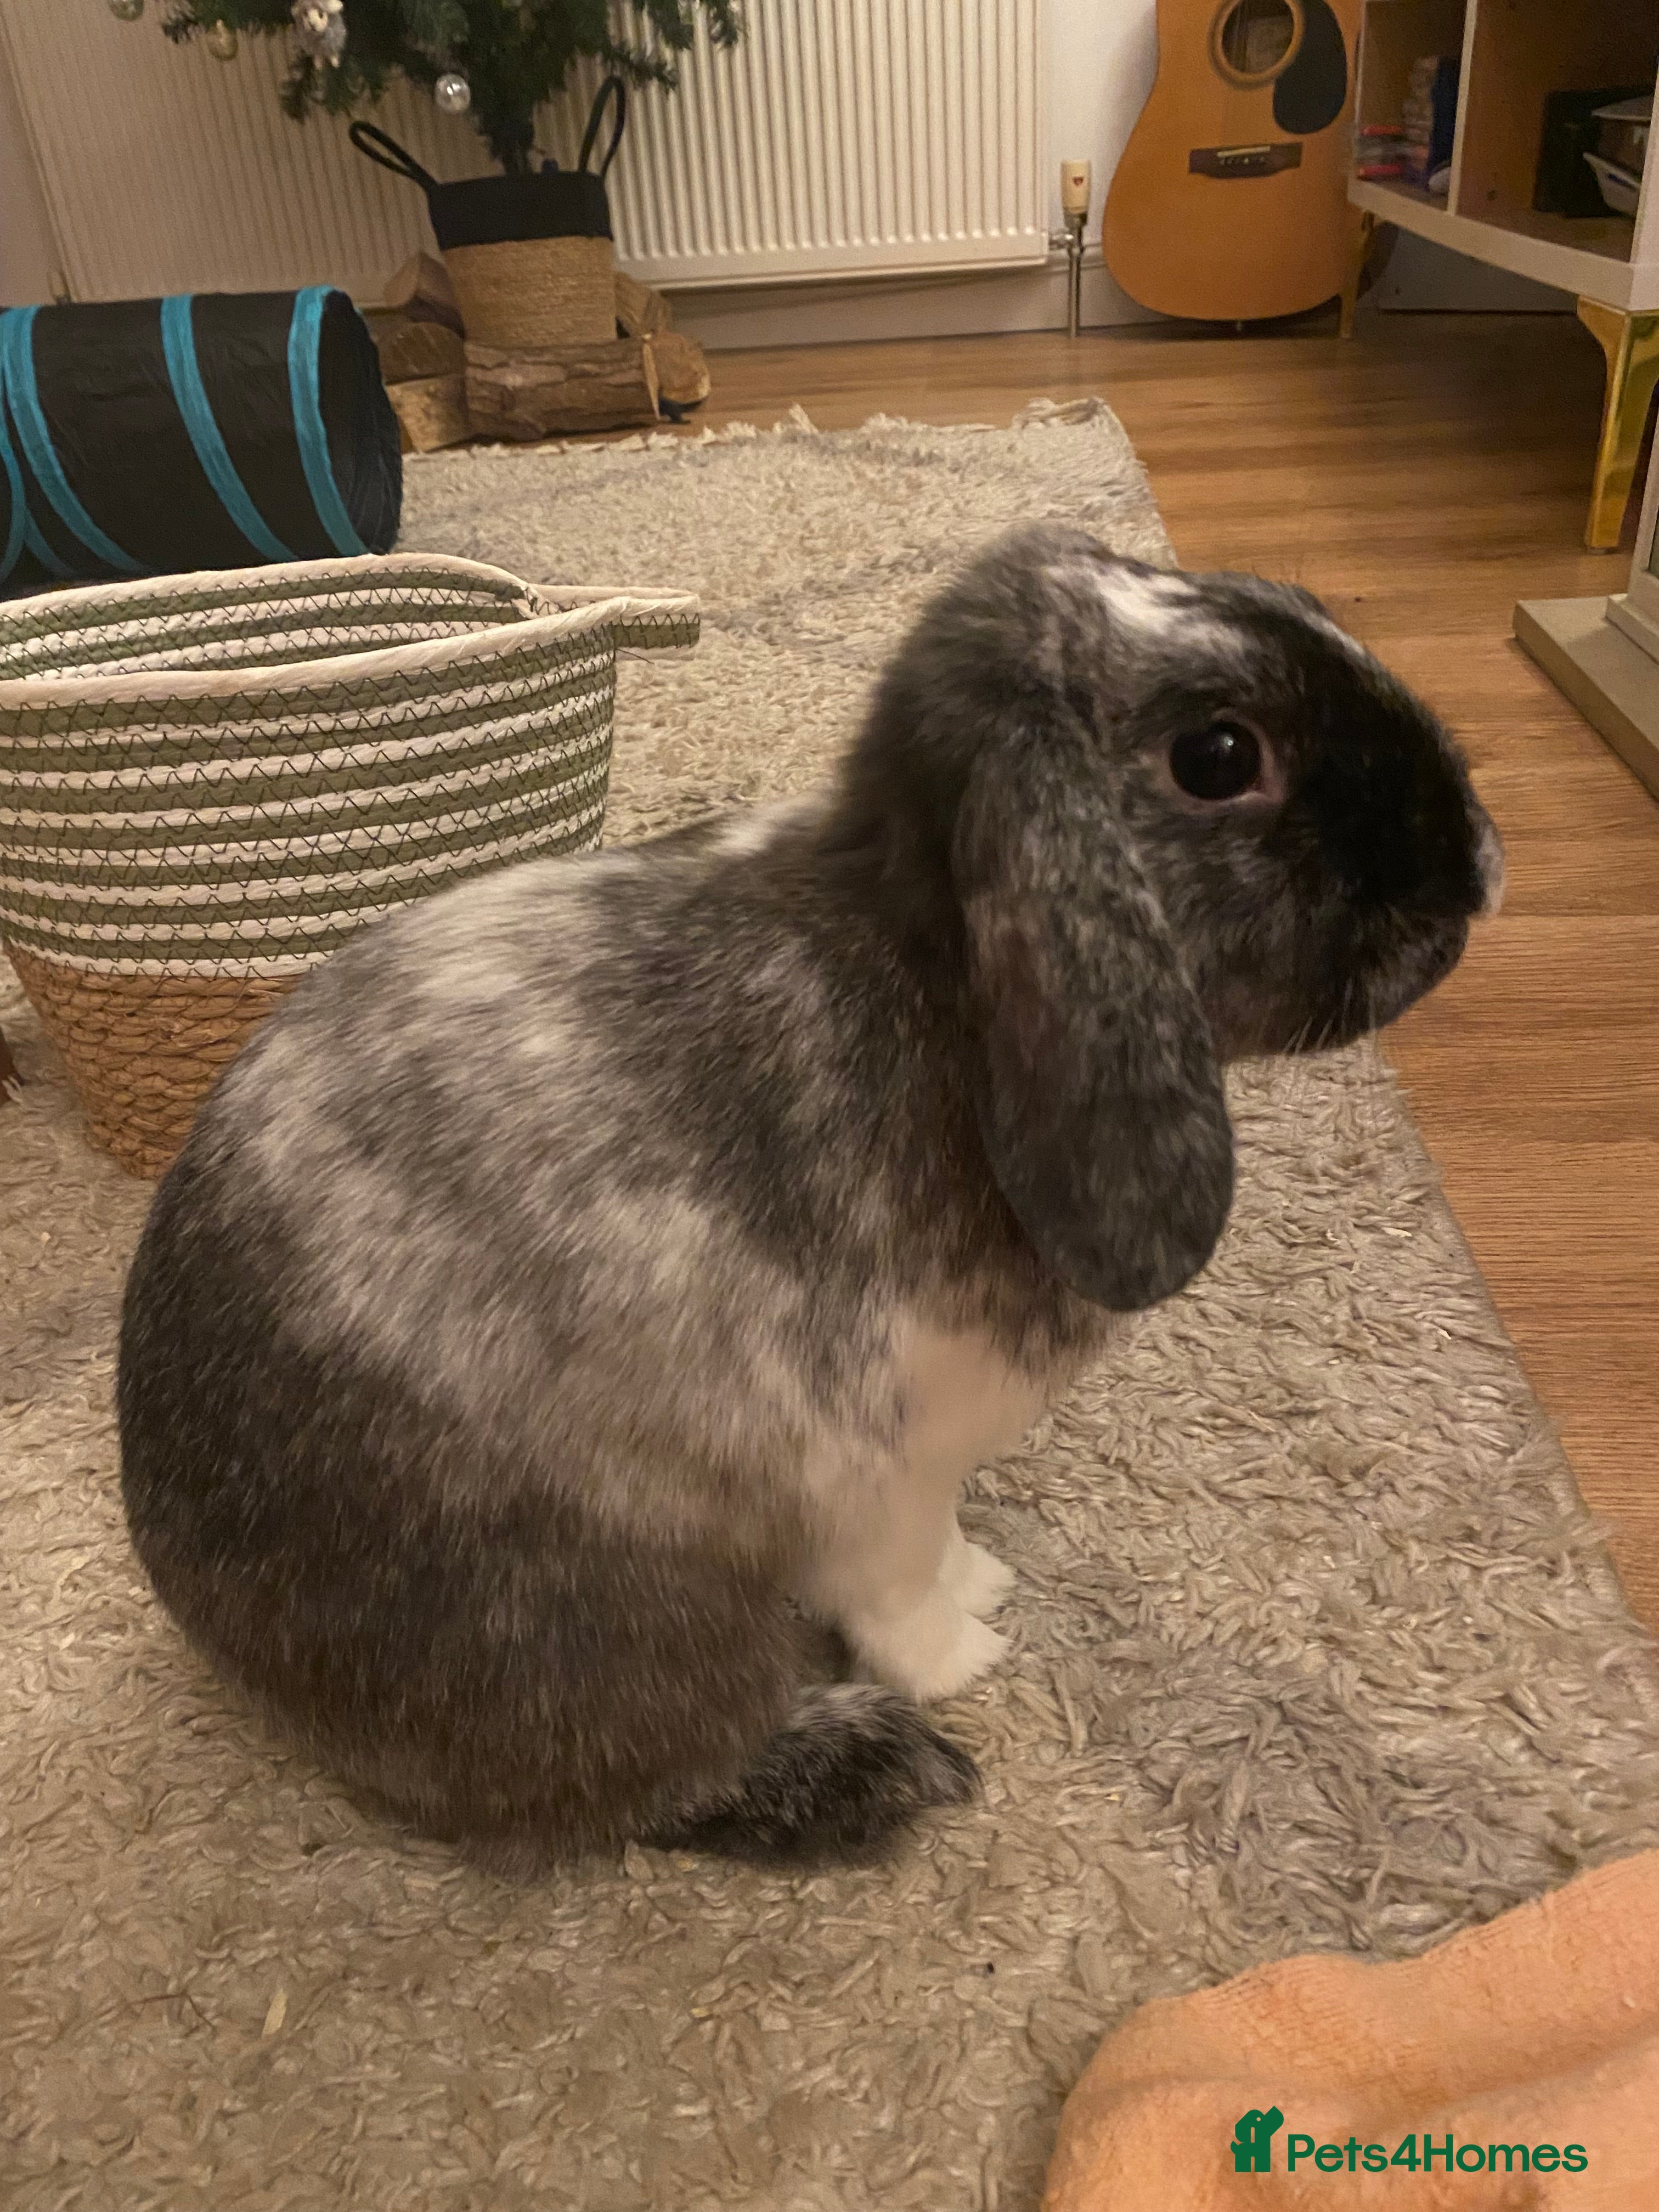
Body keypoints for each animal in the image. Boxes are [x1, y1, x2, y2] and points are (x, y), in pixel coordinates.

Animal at [118, 522, 1502, 1871]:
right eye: (1219, 757)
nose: (1479, 866)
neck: (934, 979)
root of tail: (212, 1620)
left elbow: (944, 1550)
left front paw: (989, 1581)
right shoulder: (875, 1475)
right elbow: (897, 1595)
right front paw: (971, 1654)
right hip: (616, 1636)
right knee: (653, 1781)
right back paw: (882, 1767)